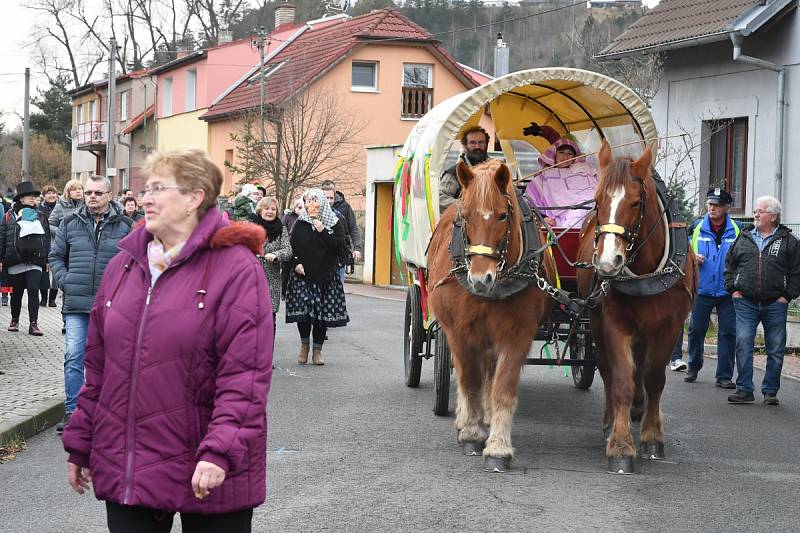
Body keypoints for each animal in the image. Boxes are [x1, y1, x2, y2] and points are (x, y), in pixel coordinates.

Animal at [428, 158, 552, 470]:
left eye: (501, 216)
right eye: (465, 216)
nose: (480, 279)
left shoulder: (517, 333)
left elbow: (502, 388)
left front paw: (498, 447)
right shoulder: (459, 332)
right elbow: (469, 381)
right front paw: (471, 433)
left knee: (489, 372)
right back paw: (465, 420)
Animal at [576, 140, 692, 474]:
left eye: (636, 201)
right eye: (597, 199)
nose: (606, 263)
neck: (645, 273)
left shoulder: (669, 327)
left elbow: (654, 378)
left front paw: (652, 437)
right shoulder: (616, 324)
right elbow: (622, 381)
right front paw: (620, 445)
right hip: (596, 323)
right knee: (606, 370)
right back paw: (610, 420)